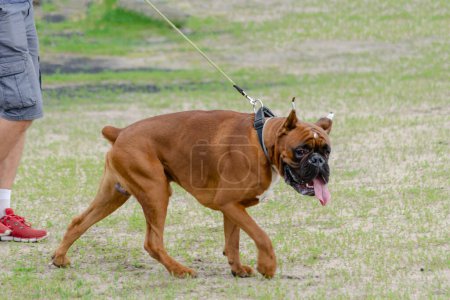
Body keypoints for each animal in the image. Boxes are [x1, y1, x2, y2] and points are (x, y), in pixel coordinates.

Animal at [53, 108, 334, 278]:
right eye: (301, 150)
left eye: (327, 150)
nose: (319, 161)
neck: (263, 140)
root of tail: (120, 132)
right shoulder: (228, 203)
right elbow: (261, 235)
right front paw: (267, 265)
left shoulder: (233, 207)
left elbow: (233, 241)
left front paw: (237, 269)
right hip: (156, 191)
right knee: (152, 242)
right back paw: (179, 270)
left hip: (113, 194)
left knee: (79, 222)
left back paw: (59, 258)